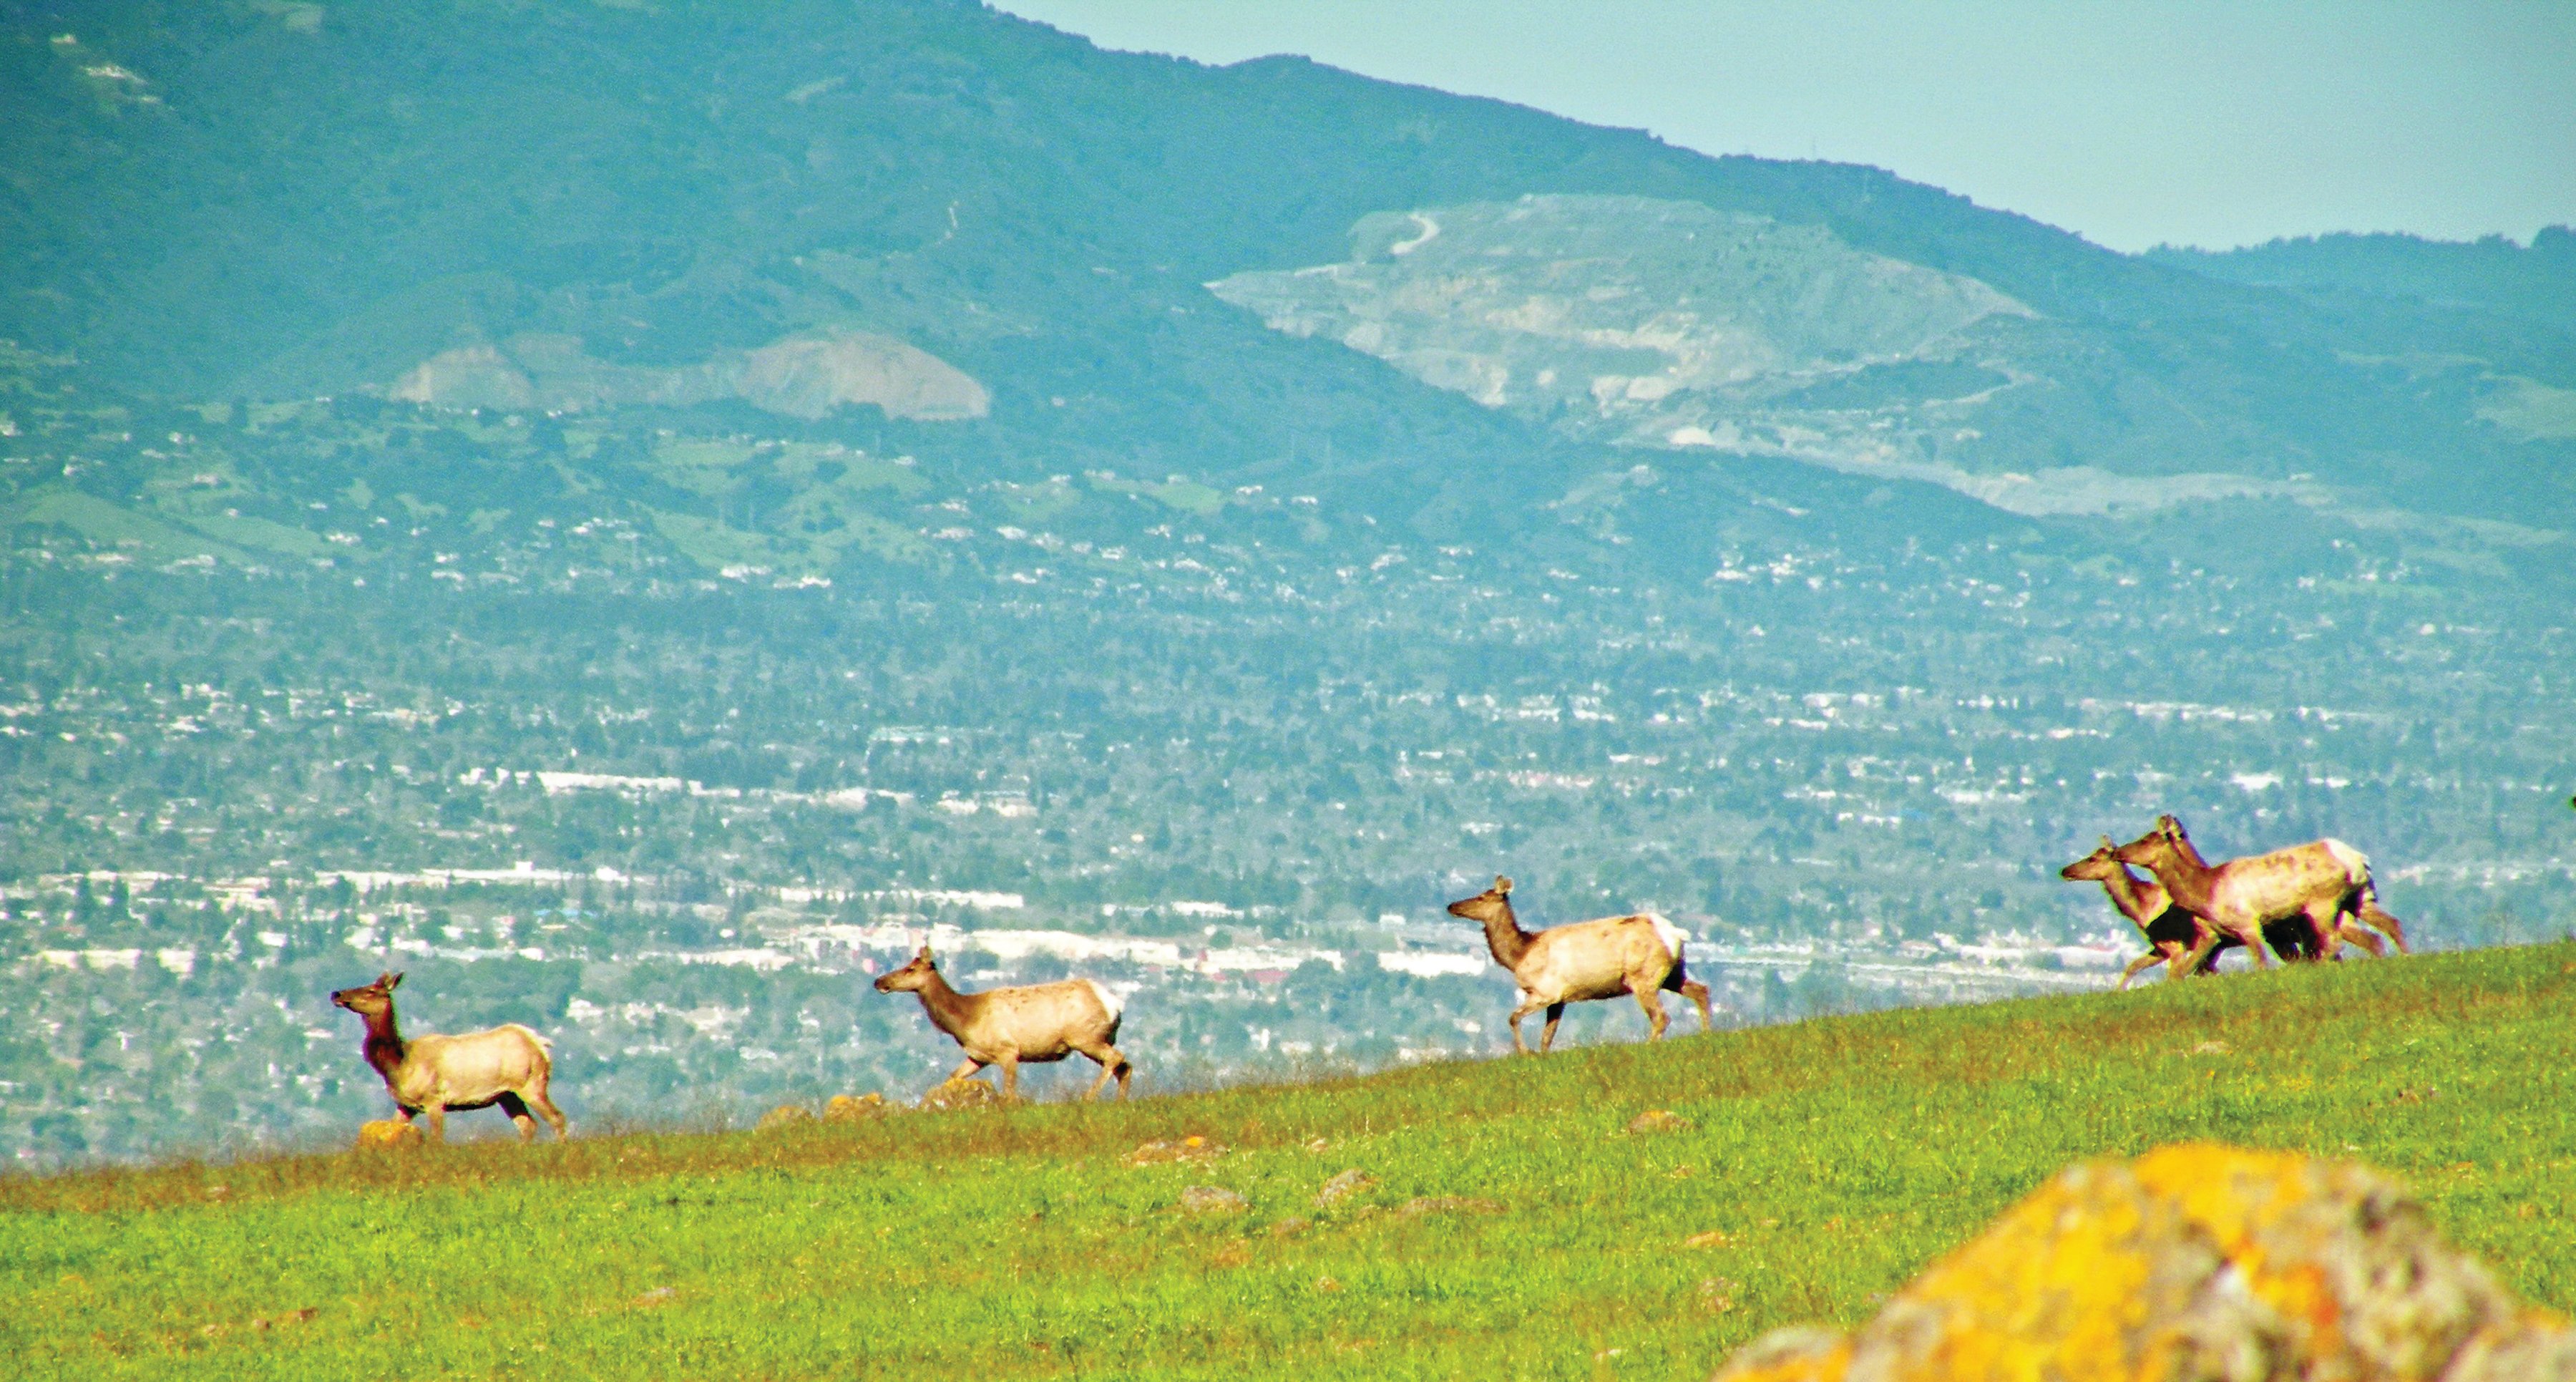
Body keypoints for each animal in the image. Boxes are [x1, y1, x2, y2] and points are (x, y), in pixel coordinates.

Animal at [332, 969, 569, 1144]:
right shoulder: (406, 1105)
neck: (398, 1064)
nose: (337, 994)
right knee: (528, 1125)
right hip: (507, 1095)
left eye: (372, 990)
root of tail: (540, 1043)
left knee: (557, 1118)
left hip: (531, 1083)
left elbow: (437, 1138)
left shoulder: (434, 1099)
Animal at [881, 938, 1133, 1103]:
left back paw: (1088, 1097)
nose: (879, 982)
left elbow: (1010, 1093)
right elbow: (953, 1077)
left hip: (1085, 1037)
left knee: (1117, 1058)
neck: (967, 1018)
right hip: (1096, 1039)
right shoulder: (978, 1056)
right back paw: (1120, 1103)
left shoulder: (1009, 1051)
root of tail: (1114, 1004)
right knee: (1124, 1066)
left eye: (910, 969)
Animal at [1453, 876, 1710, 1057]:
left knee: (1661, 1016)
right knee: (1701, 990)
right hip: (1672, 973)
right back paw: (1706, 1034)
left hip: (1643, 976)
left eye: (1482, 897)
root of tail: (1675, 934)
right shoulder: (1559, 999)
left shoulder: (1546, 991)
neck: (1520, 954)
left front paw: (1525, 1052)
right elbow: (1547, 1036)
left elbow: (1513, 1018)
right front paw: (1541, 1055)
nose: (1452, 906)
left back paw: (1650, 1046)